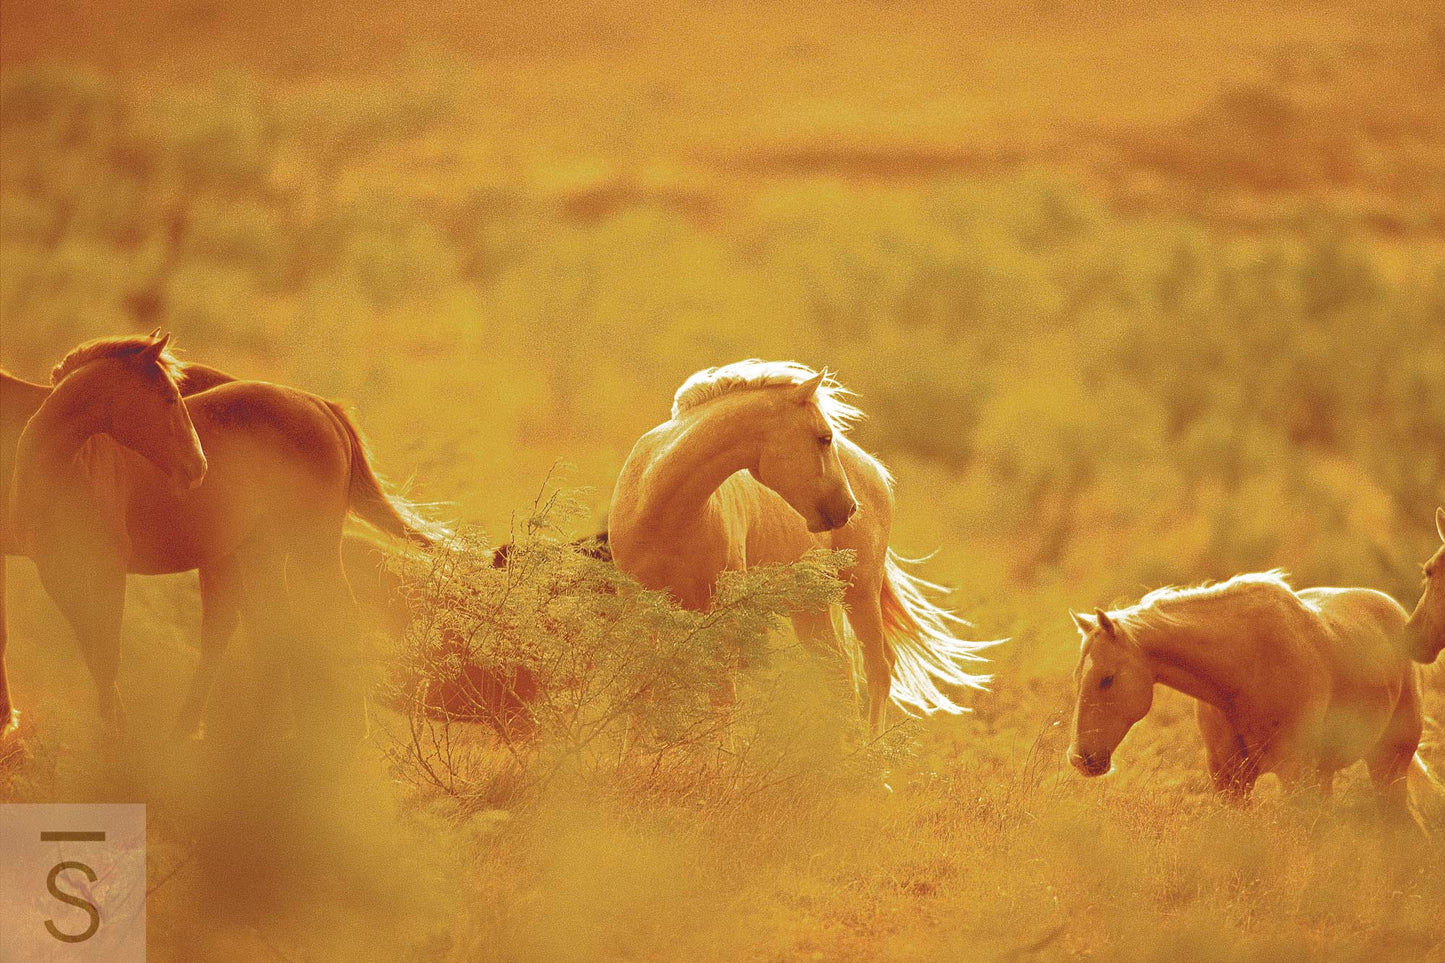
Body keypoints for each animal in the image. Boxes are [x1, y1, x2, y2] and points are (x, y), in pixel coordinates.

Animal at [7, 334, 439, 737]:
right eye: (169, 396)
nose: (198, 467)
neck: (64, 467)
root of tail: (321, 406)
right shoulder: (58, 577)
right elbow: (95, 658)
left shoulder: (107, 573)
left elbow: (107, 657)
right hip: (262, 554)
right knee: (273, 627)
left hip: (312, 548)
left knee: (337, 620)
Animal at [604, 358, 999, 728]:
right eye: (824, 437)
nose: (848, 507)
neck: (663, 510)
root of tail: (875, 470)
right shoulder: (639, 605)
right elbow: (643, 692)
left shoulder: (719, 610)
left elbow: (721, 696)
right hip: (810, 608)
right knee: (839, 673)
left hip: (859, 590)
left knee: (877, 668)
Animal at [1069, 566, 1427, 815]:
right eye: (1078, 676)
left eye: (1107, 678)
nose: (1080, 758)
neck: (1245, 666)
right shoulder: (1230, 781)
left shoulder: (1294, 776)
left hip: (1388, 766)